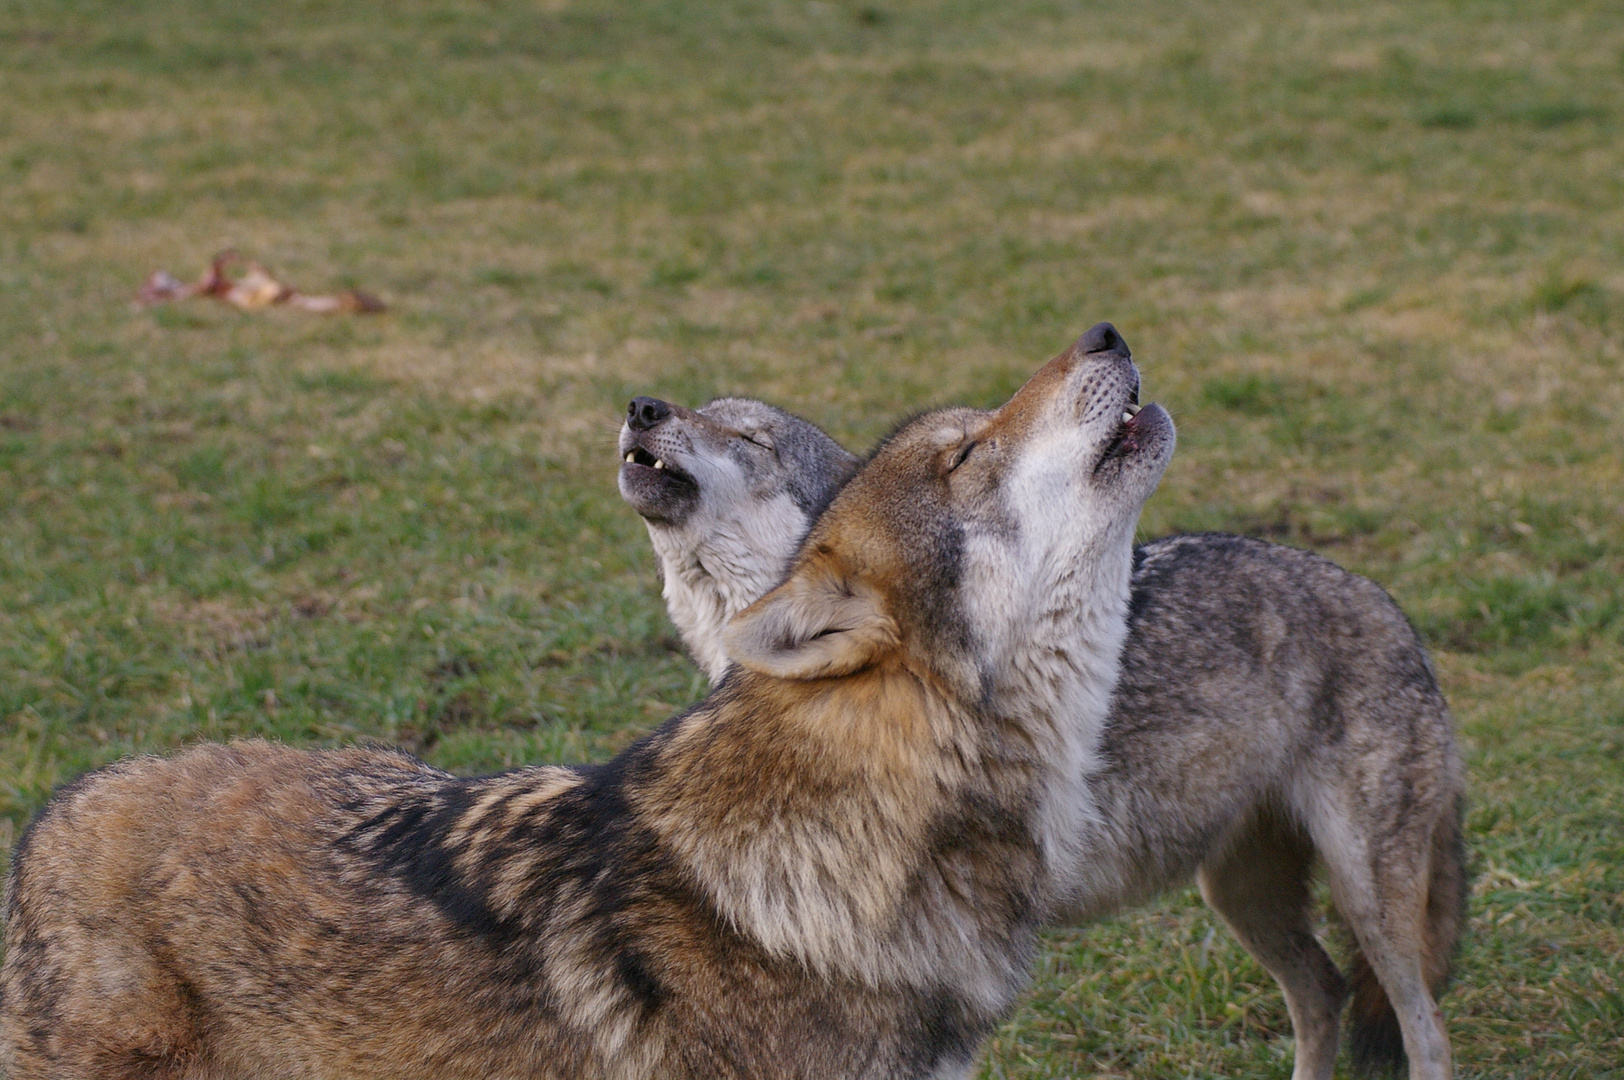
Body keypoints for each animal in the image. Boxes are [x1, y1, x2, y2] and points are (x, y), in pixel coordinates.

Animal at [613, 319, 1468, 1078]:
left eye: (751, 440)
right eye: (700, 412)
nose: (643, 407)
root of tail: (1391, 607)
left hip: (1368, 903)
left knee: (1424, 1029)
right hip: (1240, 894)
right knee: (1323, 993)